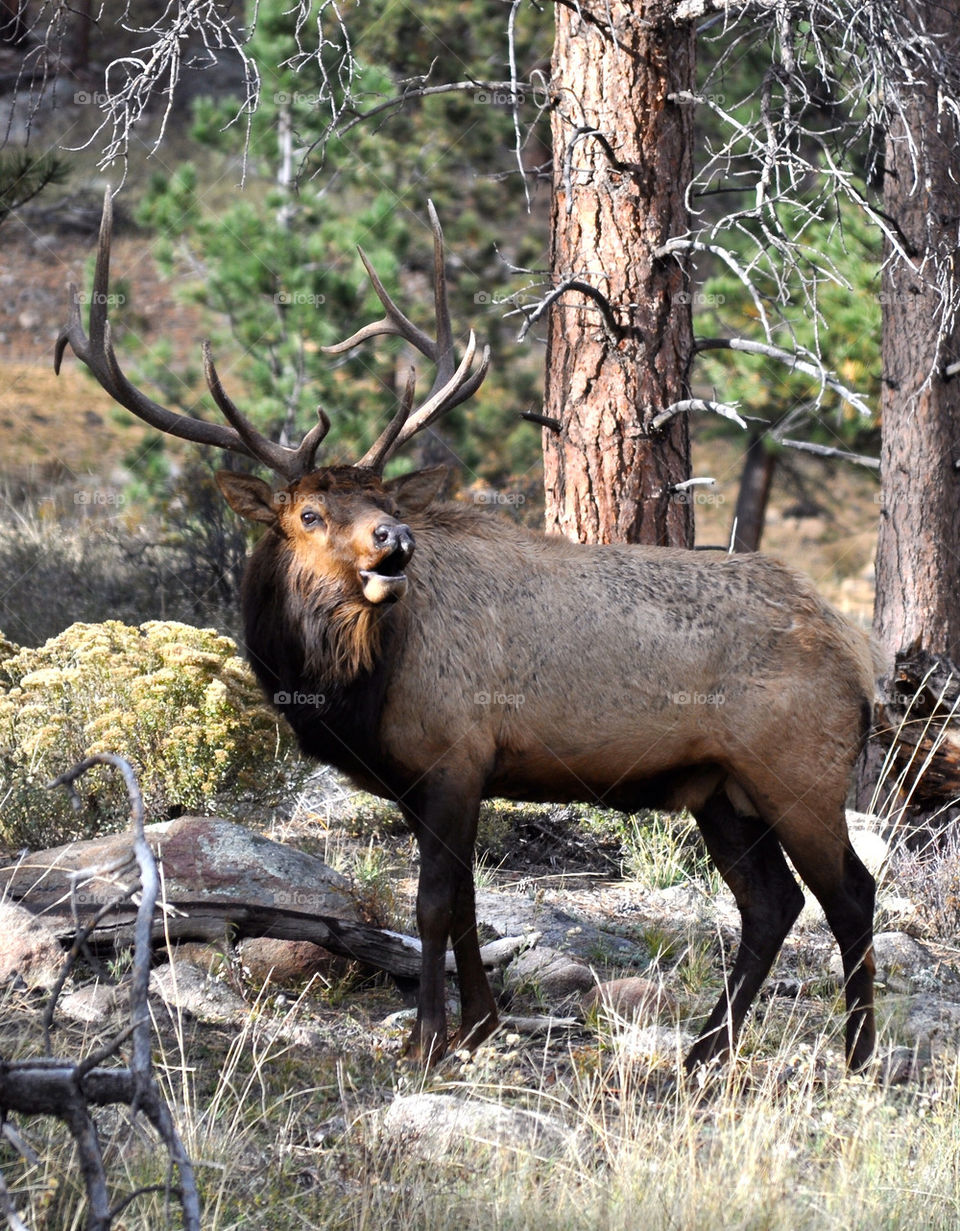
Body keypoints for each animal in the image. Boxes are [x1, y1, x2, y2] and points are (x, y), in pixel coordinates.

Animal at [58, 192, 876, 1068]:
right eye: (308, 513)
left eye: (384, 500)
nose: (394, 539)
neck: (351, 692)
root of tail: (858, 662)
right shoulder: (427, 779)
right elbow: (464, 904)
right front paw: (478, 1023)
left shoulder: (456, 754)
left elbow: (429, 904)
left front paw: (426, 1039)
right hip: (720, 788)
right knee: (772, 902)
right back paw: (703, 1050)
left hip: (798, 771)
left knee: (851, 894)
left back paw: (857, 1055)